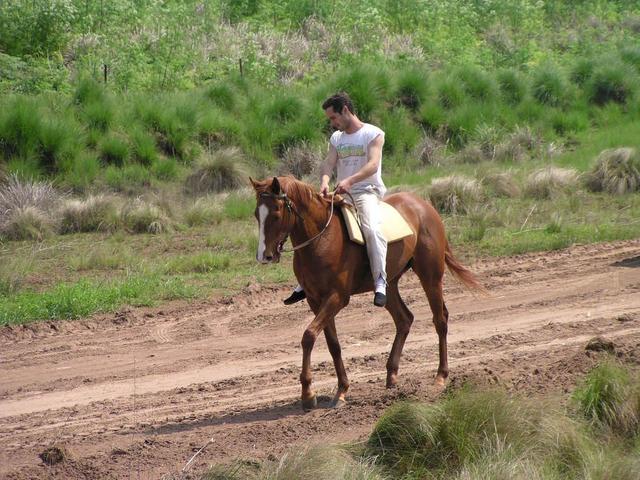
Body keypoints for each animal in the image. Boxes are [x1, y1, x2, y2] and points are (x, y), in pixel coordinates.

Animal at [250, 176, 480, 408]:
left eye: (276, 212)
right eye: (256, 214)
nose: (264, 256)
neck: (321, 240)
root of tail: (424, 206)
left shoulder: (337, 298)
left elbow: (308, 336)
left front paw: (307, 393)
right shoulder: (315, 300)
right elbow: (332, 344)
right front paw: (341, 389)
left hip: (430, 276)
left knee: (440, 319)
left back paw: (440, 376)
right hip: (389, 285)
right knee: (404, 319)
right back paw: (391, 375)